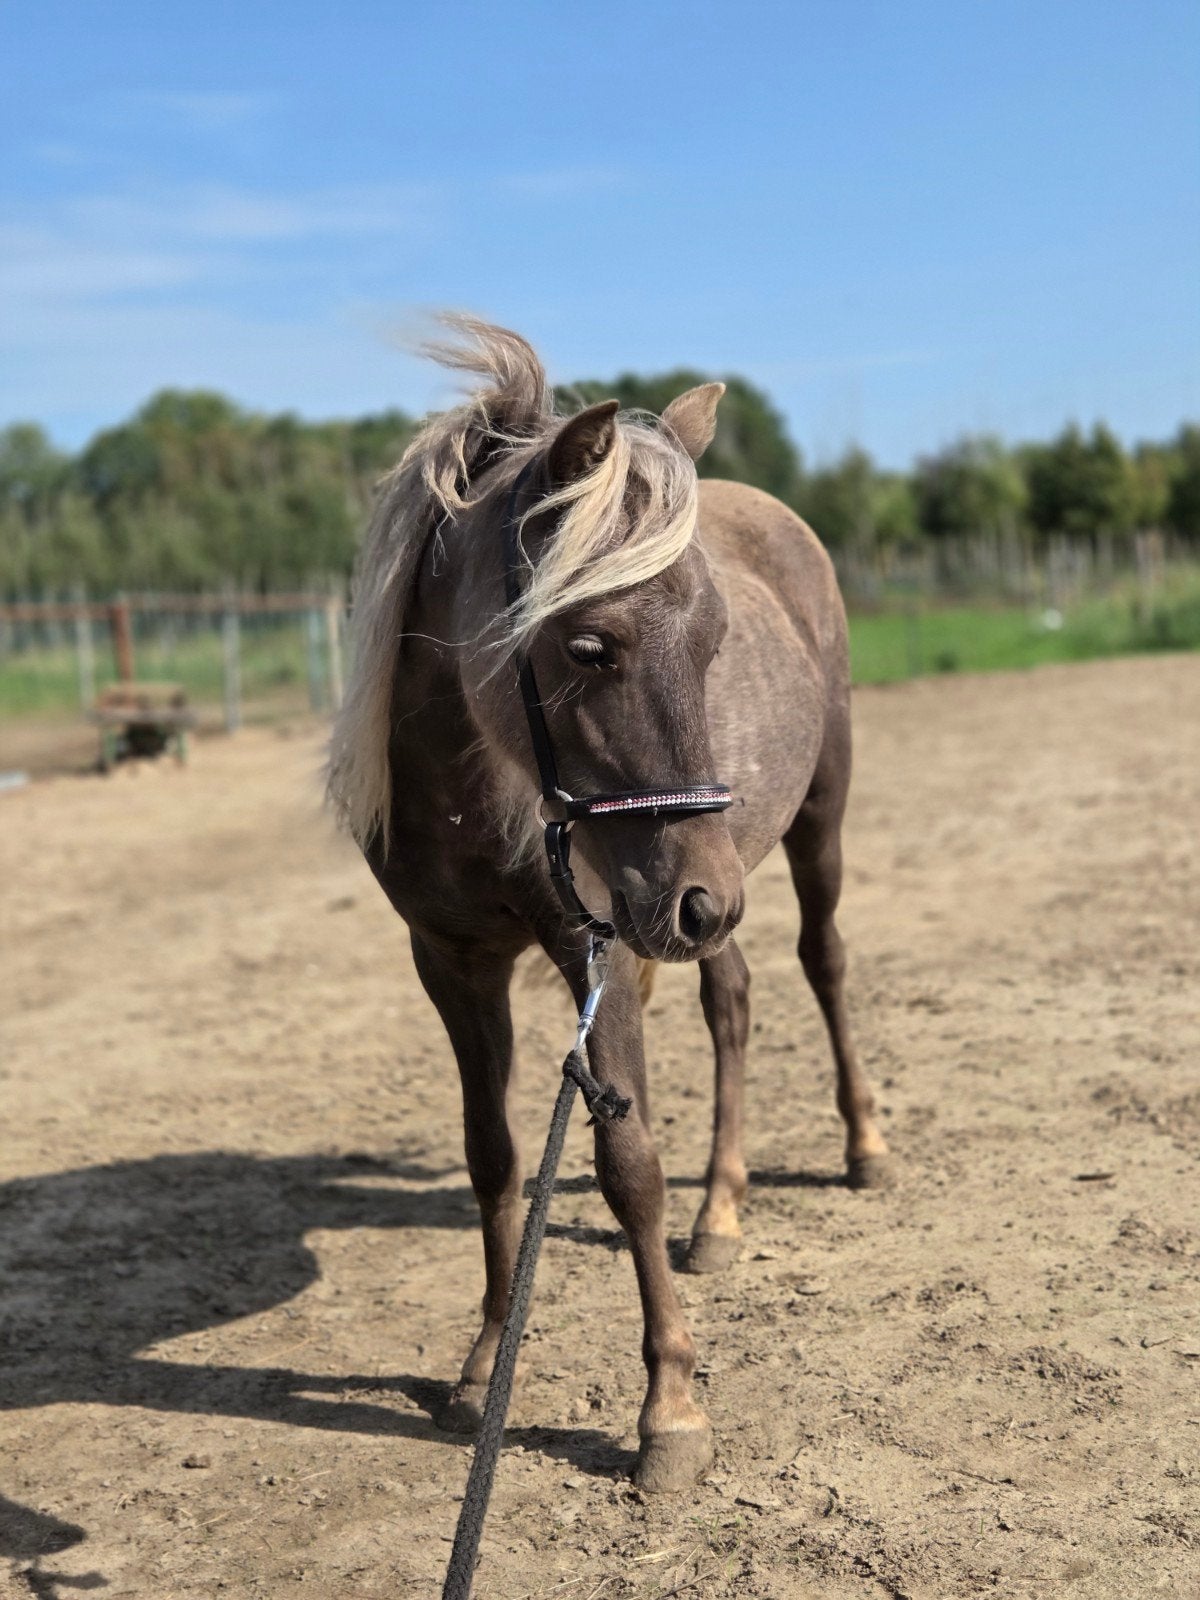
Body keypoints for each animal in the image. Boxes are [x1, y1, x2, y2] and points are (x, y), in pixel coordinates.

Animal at [328, 316, 892, 1492]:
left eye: (716, 640)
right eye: (588, 645)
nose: (701, 894)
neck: (474, 788)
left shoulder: (598, 953)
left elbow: (630, 1168)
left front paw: (669, 1410)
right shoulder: (452, 963)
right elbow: (493, 1159)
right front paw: (484, 1362)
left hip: (800, 832)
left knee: (823, 963)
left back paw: (865, 1148)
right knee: (733, 998)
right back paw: (722, 1212)